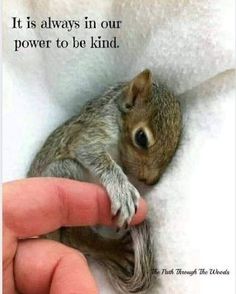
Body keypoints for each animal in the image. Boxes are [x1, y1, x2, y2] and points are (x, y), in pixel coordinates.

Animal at [28, 69, 183, 294]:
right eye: (141, 138)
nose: (150, 180)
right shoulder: (93, 131)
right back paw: (114, 249)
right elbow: (92, 152)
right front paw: (123, 191)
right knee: (77, 237)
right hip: (65, 171)